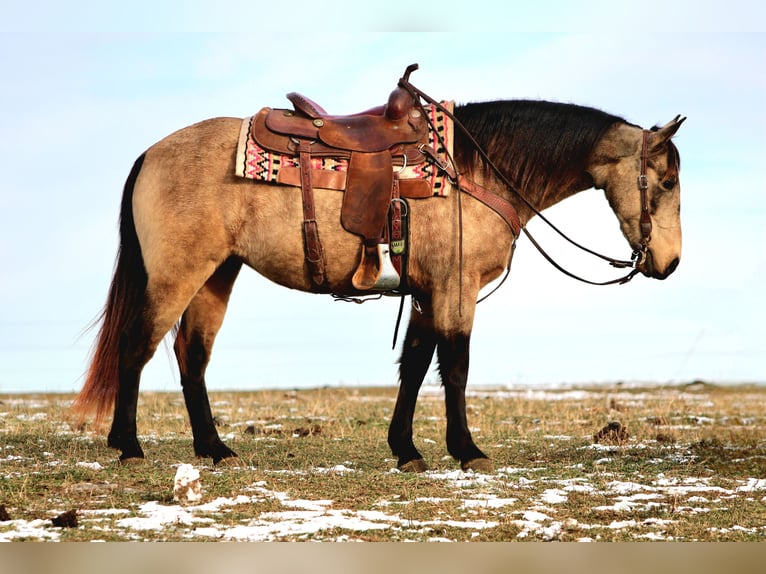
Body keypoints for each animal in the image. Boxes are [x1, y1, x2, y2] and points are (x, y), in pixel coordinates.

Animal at [73, 90, 684, 473]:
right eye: (668, 181)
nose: (671, 262)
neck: (476, 171)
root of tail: (152, 153)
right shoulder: (455, 289)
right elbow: (455, 366)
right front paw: (467, 449)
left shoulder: (426, 293)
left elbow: (413, 366)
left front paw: (406, 449)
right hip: (178, 274)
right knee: (137, 345)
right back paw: (129, 446)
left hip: (216, 274)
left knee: (190, 355)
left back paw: (215, 449)